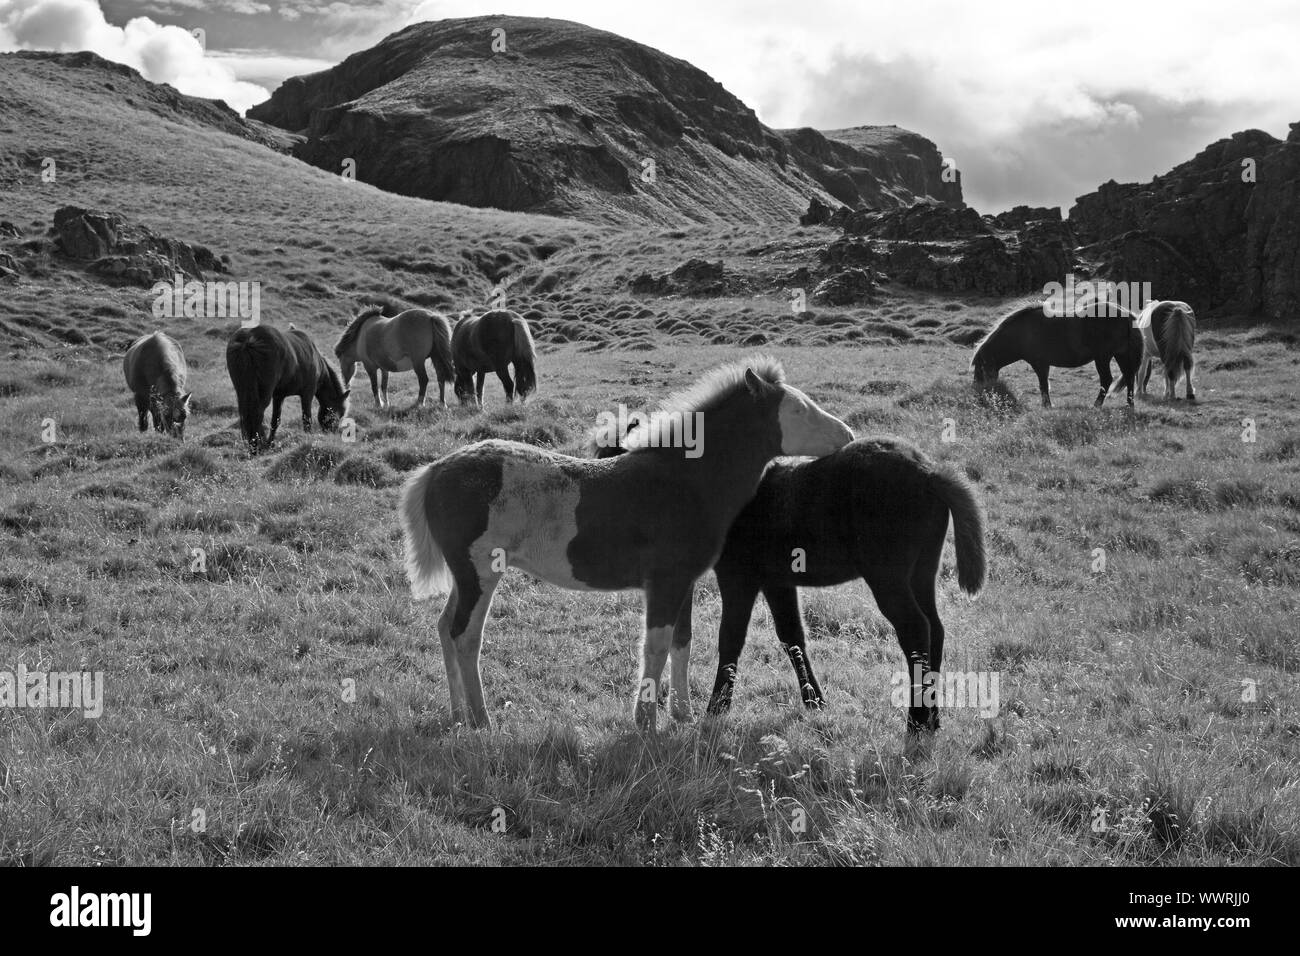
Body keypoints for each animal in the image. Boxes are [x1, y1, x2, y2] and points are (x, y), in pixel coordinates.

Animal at [226, 323, 351, 455]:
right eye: (339, 414)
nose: (332, 434)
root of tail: (248, 339)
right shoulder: (307, 394)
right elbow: (307, 419)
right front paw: (308, 440)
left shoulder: (278, 396)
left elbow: (275, 421)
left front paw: (270, 444)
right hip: (264, 394)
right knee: (257, 415)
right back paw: (257, 446)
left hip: (243, 391)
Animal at [400, 358, 857, 733]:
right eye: (797, 409)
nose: (849, 435)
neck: (687, 480)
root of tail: (435, 470)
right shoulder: (664, 582)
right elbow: (655, 645)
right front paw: (646, 722)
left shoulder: (684, 581)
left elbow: (681, 641)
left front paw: (682, 715)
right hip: (481, 573)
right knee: (465, 636)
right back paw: (481, 720)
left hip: (465, 575)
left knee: (444, 627)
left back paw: (458, 716)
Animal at [592, 429, 982, 738]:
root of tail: (929, 472)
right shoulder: (777, 581)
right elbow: (791, 636)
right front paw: (815, 702)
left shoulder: (738, 576)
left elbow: (730, 638)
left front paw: (717, 708)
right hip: (921, 572)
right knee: (935, 628)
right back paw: (932, 719)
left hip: (888, 577)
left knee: (915, 629)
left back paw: (916, 722)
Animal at [972, 303, 1144, 408]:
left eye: (980, 369)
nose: (979, 394)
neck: (1023, 332)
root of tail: (1127, 315)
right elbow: (1043, 385)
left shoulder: (1040, 364)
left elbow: (1043, 385)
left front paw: (1047, 405)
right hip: (1121, 356)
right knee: (1129, 377)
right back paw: (1129, 405)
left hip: (1103, 358)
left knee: (1107, 380)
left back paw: (1096, 405)